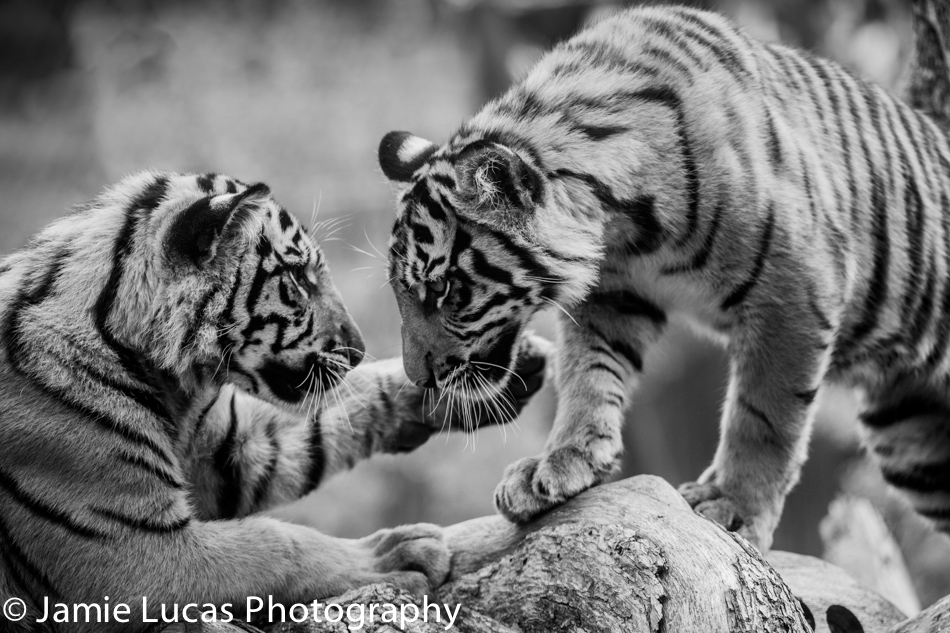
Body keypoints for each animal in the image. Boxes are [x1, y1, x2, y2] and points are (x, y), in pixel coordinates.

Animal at [0, 170, 548, 633]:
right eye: (299, 280)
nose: (357, 348)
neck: (171, 382)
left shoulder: (228, 454)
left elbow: (326, 424)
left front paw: (495, 376)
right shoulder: (131, 553)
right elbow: (275, 543)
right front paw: (396, 556)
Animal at [377, 4, 950, 552]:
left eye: (441, 289)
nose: (418, 380)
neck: (622, 224)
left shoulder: (795, 292)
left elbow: (764, 415)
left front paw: (732, 505)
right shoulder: (613, 296)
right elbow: (588, 376)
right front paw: (562, 462)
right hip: (912, 439)